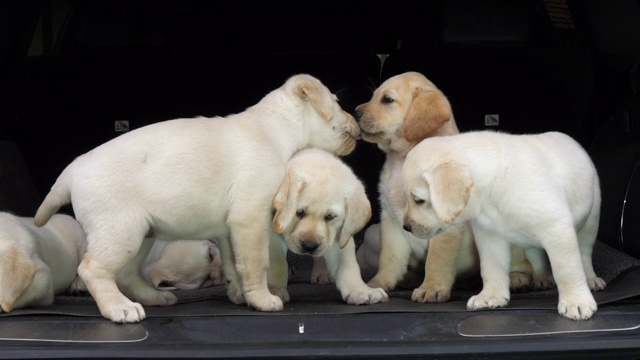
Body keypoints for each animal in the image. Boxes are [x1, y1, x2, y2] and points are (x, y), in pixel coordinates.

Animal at [33, 74, 360, 324]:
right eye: (337, 102)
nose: (355, 118)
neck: (273, 126)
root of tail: (72, 170)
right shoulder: (250, 218)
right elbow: (256, 263)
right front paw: (262, 299)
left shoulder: (228, 228)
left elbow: (233, 265)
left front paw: (239, 295)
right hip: (120, 233)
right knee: (93, 270)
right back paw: (119, 309)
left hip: (140, 234)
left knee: (125, 274)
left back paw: (154, 297)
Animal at [266, 148, 388, 306]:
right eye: (299, 212)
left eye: (330, 216)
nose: (309, 246)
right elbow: (277, 262)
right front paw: (274, 290)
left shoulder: (340, 233)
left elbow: (348, 263)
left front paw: (360, 290)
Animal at [352, 71, 478, 302]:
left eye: (387, 100)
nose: (355, 112)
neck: (403, 159)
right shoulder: (391, 219)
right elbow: (389, 257)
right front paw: (378, 283)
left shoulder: (445, 224)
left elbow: (437, 259)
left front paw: (432, 288)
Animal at [402, 130, 608, 320]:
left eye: (419, 200)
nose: (406, 227)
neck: (494, 185)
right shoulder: (489, 236)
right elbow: (491, 268)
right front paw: (490, 296)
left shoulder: (557, 228)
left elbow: (567, 269)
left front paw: (577, 302)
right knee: (536, 255)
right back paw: (541, 278)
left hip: (591, 220)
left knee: (584, 253)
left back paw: (590, 279)